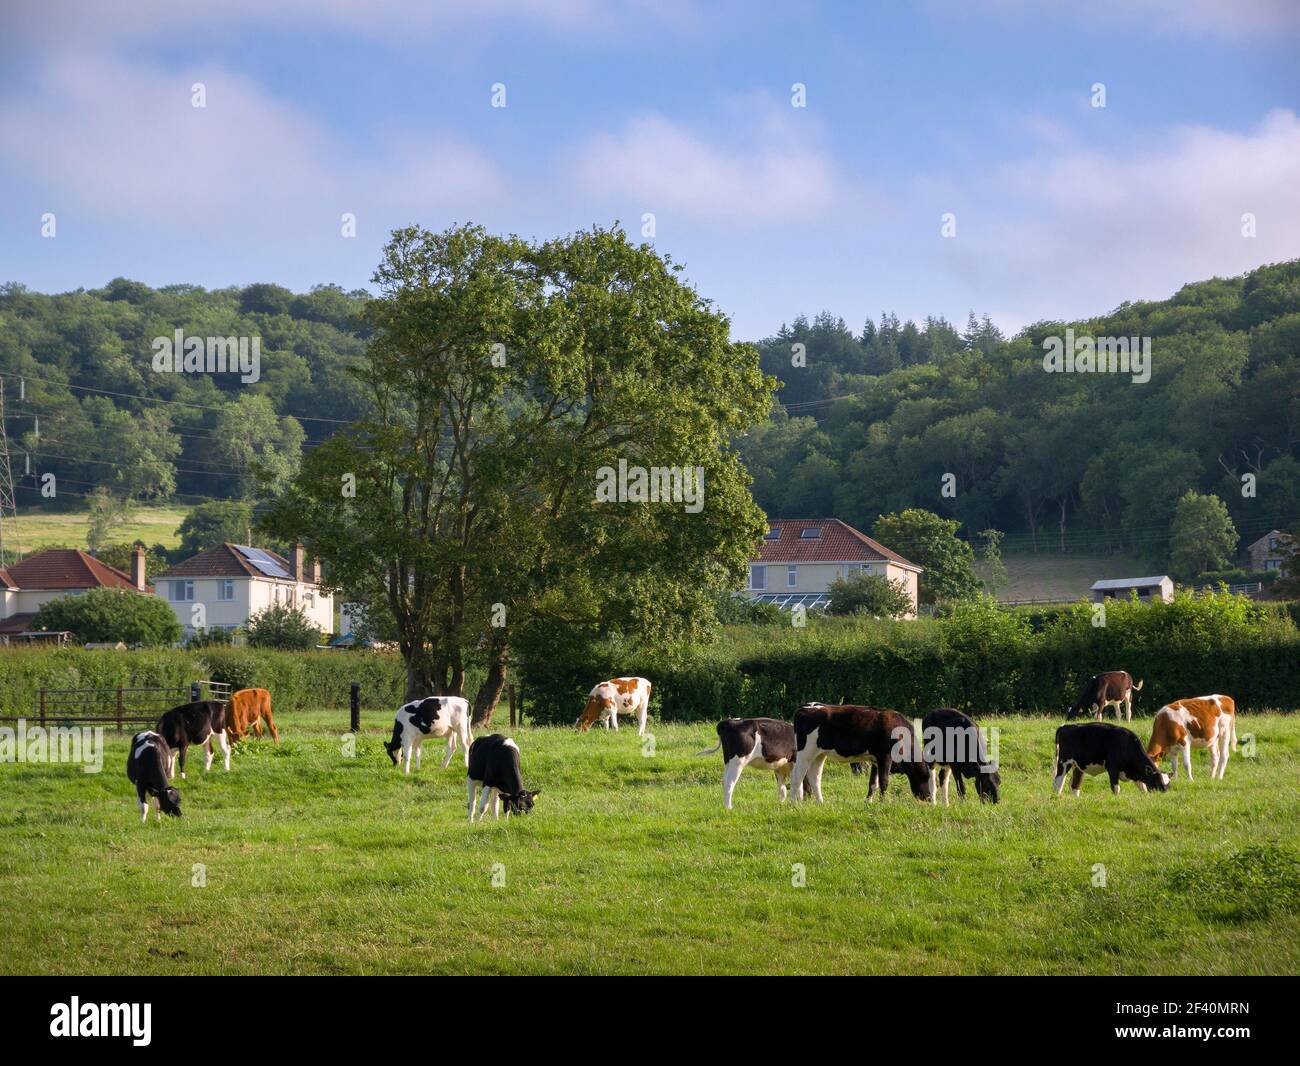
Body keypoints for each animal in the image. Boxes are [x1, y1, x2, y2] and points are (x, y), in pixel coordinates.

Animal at [785, 702, 930, 806]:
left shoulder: (875, 760)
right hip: (805, 752)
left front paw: (868, 802)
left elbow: (873, 783)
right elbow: (884, 781)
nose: (928, 798)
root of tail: (805, 707)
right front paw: (883, 803)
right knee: (796, 776)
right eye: (925, 777)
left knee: (814, 777)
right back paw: (794, 804)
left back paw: (820, 802)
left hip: (819, 754)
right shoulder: (885, 757)